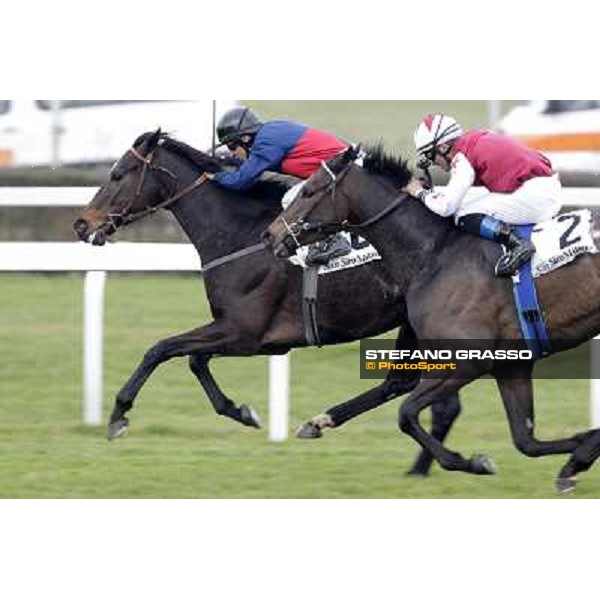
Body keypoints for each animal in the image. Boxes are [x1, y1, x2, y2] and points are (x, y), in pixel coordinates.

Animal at [71, 129, 464, 476]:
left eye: (117, 174)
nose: (80, 224)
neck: (239, 234)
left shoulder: (244, 332)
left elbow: (160, 349)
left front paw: (118, 415)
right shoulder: (250, 337)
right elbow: (195, 361)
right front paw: (241, 411)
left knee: (427, 395)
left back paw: (419, 464)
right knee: (406, 386)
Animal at [268, 144, 600, 492]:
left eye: (308, 191)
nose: (270, 234)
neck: (434, 255)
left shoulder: (468, 361)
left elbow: (406, 413)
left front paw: (473, 462)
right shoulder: (511, 365)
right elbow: (526, 441)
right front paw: (576, 458)